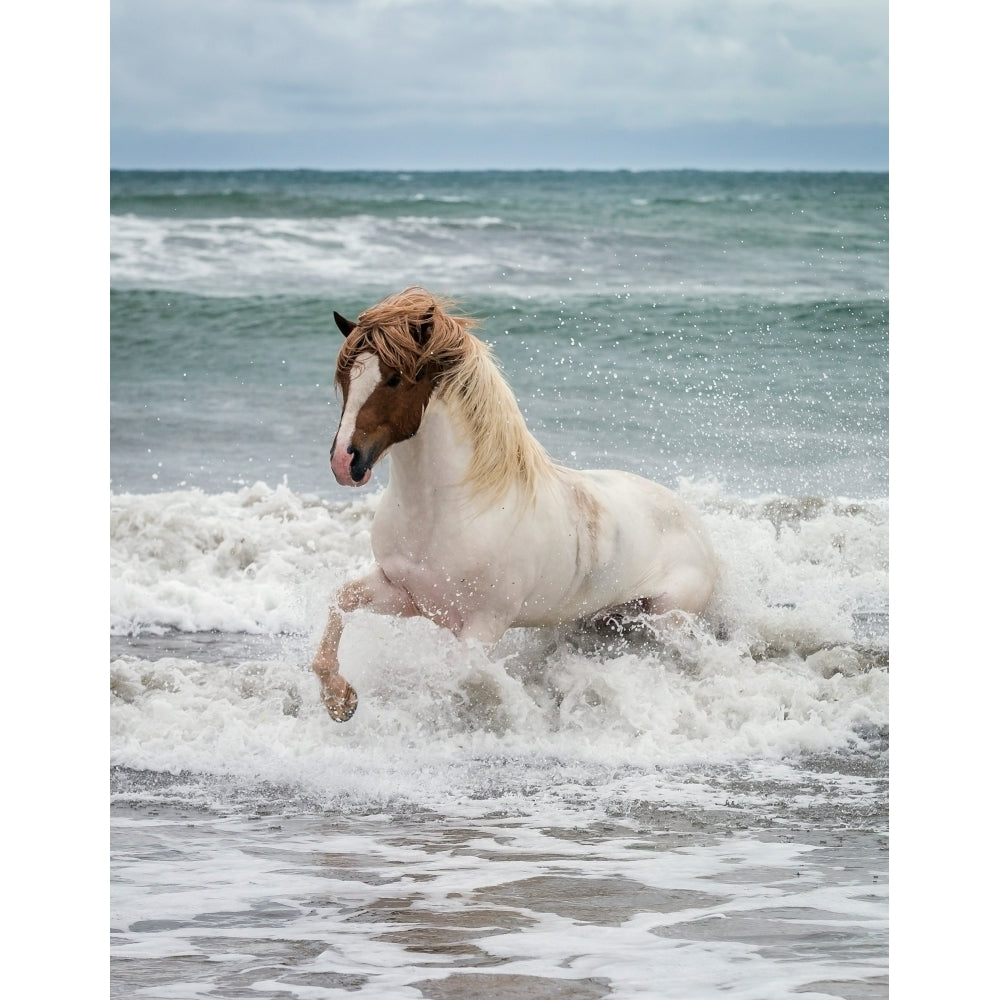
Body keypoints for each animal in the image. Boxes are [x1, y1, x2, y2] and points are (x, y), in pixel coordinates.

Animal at [308, 286, 716, 724]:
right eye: (345, 378)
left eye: (395, 378)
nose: (344, 462)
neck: (450, 512)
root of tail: (697, 527)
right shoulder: (407, 596)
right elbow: (341, 601)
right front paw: (339, 700)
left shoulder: (483, 624)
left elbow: (458, 675)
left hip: (668, 619)